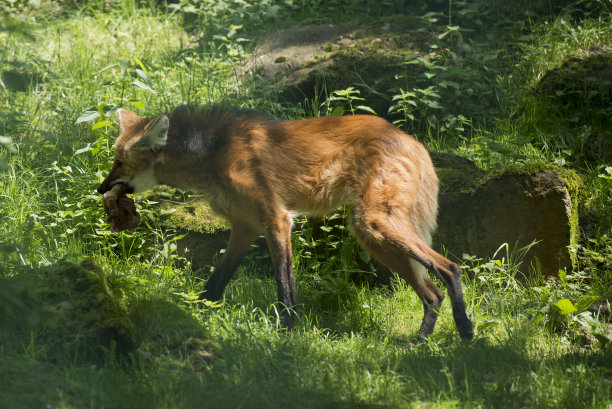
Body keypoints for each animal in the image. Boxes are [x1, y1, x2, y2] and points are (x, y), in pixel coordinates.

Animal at [98, 104, 476, 338]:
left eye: (118, 162)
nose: (100, 188)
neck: (212, 152)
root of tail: (413, 141)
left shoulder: (276, 219)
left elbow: (285, 287)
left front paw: (286, 334)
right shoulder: (245, 227)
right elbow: (216, 282)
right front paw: (197, 314)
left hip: (374, 224)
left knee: (450, 269)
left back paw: (465, 333)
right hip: (372, 235)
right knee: (432, 294)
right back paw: (420, 342)